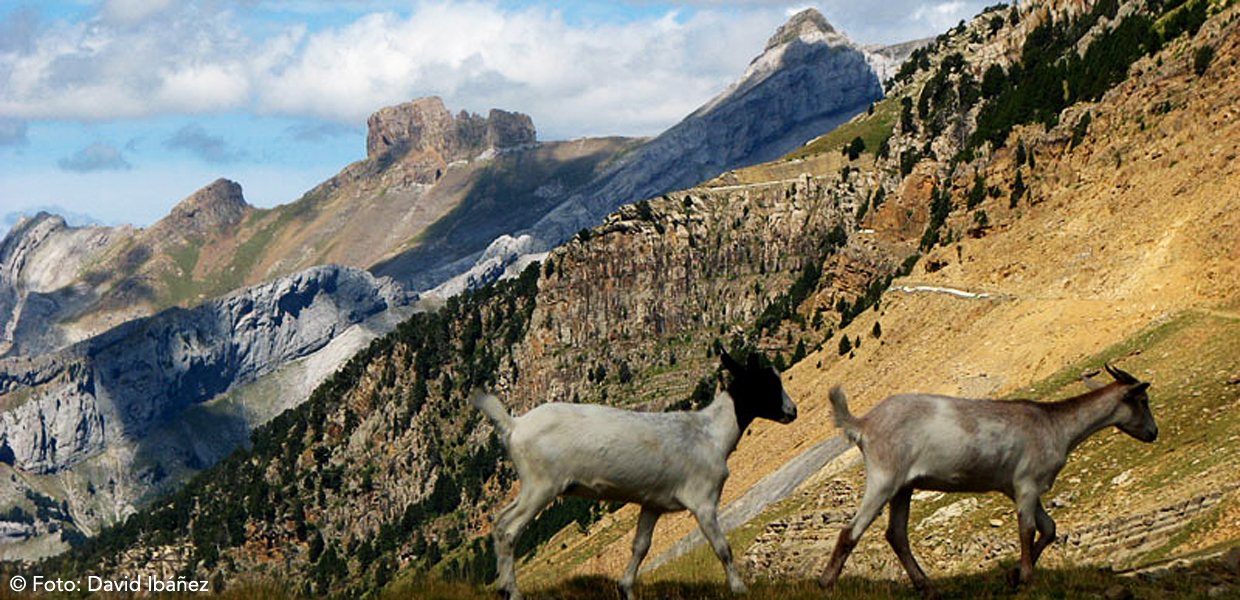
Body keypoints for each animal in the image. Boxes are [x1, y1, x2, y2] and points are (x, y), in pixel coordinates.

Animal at [468, 352, 798, 600]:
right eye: (766, 383)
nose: (792, 411)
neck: (710, 434)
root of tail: (514, 425)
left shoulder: (653, 503)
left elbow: (641, 546)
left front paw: (625, 588)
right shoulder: (703, 499)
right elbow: (722, 547)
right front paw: (740, 588)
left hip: (531, 485)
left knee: (500, 521)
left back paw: (501, 586)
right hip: (542, 484)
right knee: (510, 529)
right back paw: (513, 592)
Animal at [818, 361, 1155, 595]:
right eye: (1143, 401)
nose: (1154, 433)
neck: (1055, 426)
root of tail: (863, 424)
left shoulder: (1017, 487)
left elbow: (1049, 528)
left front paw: (1014, 575)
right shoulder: (1027, 483)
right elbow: (1028, 529)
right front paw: (1027, 579)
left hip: (904, 486)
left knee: (896, 534)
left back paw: (927, 587)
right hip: (884, 476)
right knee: (850, 531)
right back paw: (827, 583)